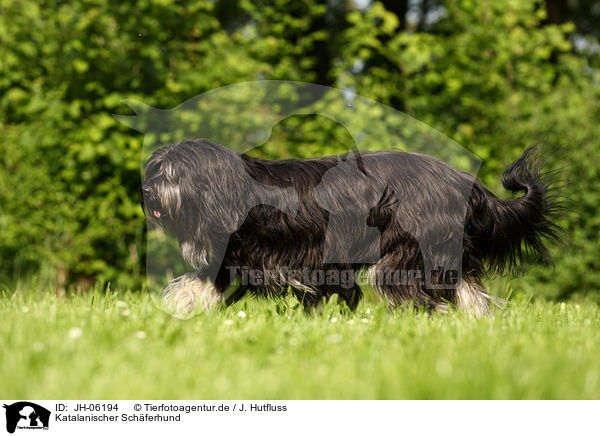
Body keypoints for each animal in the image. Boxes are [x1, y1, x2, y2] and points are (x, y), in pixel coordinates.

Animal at [139, 139, 564, 316]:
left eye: (172, 174)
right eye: (155, 169)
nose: (145, 190)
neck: (237, 192)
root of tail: (463, 181)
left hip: (408, 252)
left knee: (421, 295)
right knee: (470, 293)